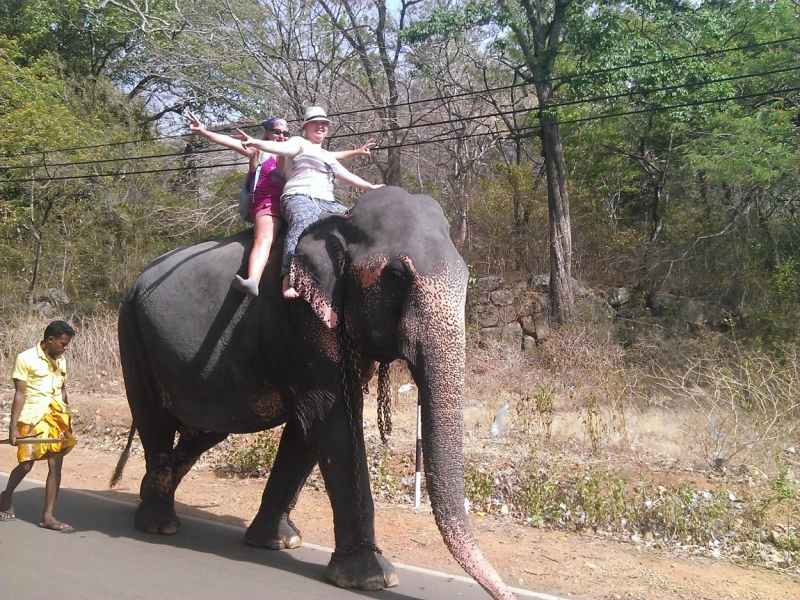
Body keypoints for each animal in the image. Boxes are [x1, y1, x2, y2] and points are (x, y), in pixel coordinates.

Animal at [111, 185, 512, 596]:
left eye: (465, 275)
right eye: (397, 275)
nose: (504, 594)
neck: (340, 225)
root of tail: (136, 283)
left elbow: (308, 426)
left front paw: (278, 542)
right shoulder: (296, 315)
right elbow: (329, 417)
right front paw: (370, 577)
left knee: (204, 429)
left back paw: (148, 495)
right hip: (132, 332)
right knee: (155, 419)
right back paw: (158, 524)